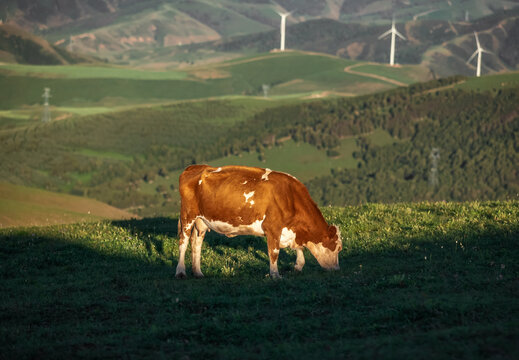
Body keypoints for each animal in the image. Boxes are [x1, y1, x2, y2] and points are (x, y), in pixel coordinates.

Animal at [177, 165, 344, 280]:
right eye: (338, 248)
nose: (337, 269)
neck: (290, 197)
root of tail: (195, 167)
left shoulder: (291, 230)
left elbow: (299, 249)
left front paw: (297, 266)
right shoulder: (273, 228)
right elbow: (274, 252)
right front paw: (275, 275)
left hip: (201, 221)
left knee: (196, 243)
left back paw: (198, 272)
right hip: (187, 216)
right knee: (183, 242)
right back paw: (180, 272)